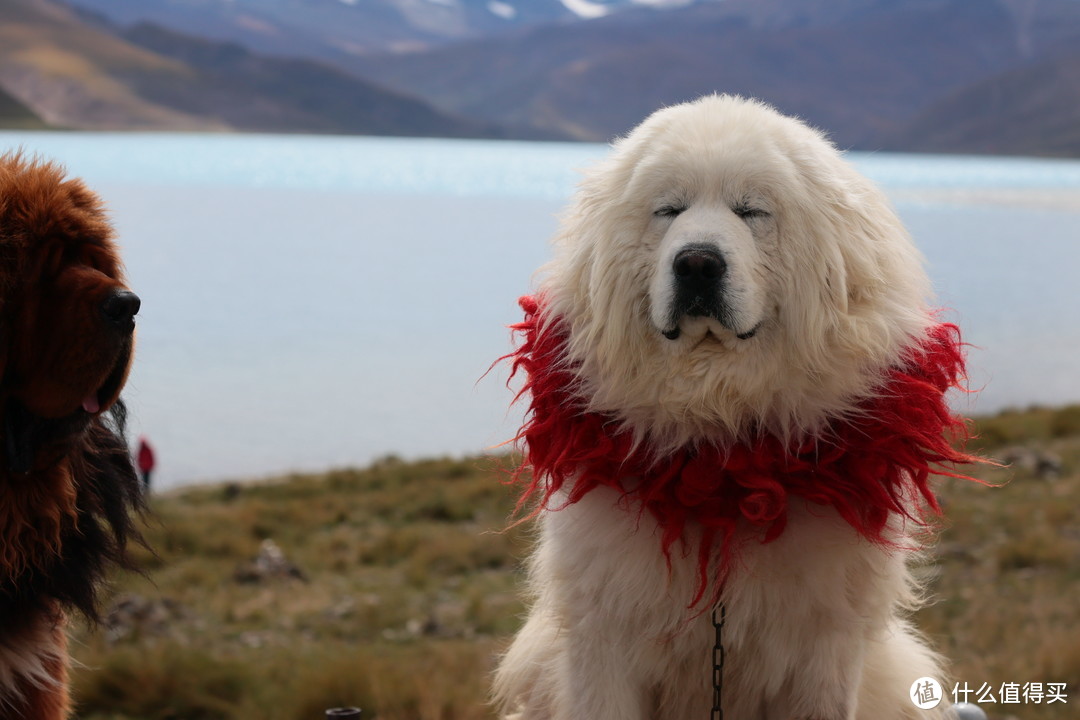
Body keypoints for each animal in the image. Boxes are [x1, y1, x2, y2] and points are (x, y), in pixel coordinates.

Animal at [492, 97, 972, 720]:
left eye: (751, 211)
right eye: (668, 210)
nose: (697, 263)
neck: (721, 467)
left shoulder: (823, 648)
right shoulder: (605, 639)